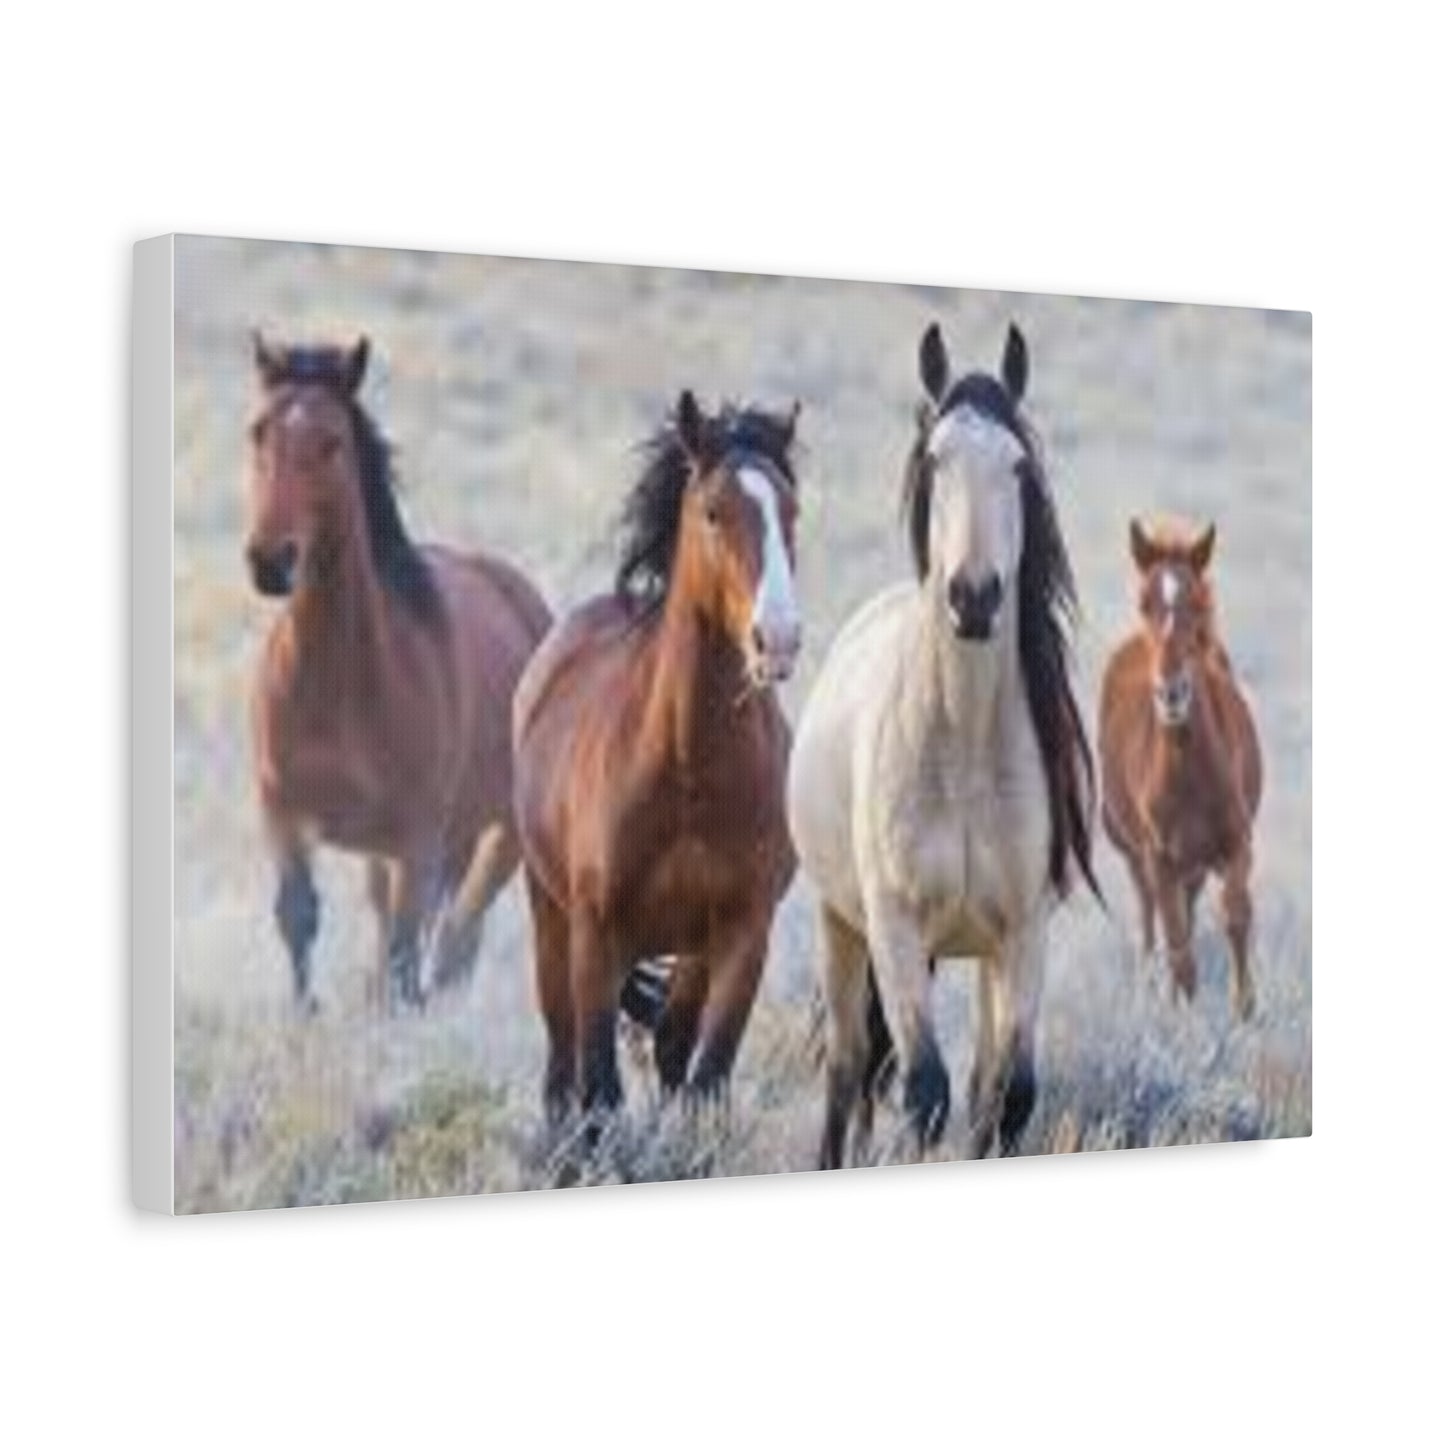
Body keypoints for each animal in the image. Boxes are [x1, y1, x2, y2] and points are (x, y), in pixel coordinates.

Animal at [244, 333, 551, 1011]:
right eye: (258, 432)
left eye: (332, 440)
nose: (271, 562)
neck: (335, 685)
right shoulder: (283, 815)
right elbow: (298, 916)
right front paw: (305, 1016)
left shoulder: (417, 840)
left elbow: (412, 952)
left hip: (497, 836)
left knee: (456, 939)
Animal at [512, 390, 802, 1121]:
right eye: (713, 512)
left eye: (792, 510)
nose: (779, 638)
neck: (688, 769)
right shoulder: (595, 932)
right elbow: (599, 1089)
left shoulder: (742, 931)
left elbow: (705, 1076)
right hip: (551, 920)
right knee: (562, 1067)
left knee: (671, 1045)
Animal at [787, 321, 1098, 1168]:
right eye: (934, 459)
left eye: (1018, 465)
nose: (973, 596)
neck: (960, 753)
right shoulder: (893, 928)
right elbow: (923, 1090)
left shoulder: (1023, 933)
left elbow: (1007, 1096)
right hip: (841, 925)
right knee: (848, 1069)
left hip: (984, 957)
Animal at [1098, 518, 1263, 1021]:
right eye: (1144, 603)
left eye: (1197, 603)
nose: (1171, 693)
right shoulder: (1159, 857)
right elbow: (1177, 945)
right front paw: (1184, 1020)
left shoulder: (1235, 842)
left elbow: (1235, 914)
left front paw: (1245, 1010)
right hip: (1138, 857)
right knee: (1152, 923)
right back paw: (1152, 993)